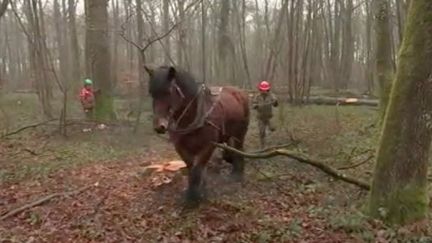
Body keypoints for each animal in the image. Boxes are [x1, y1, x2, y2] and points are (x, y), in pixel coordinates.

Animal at [145, 65, 250, 205]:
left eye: (168, 92)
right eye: (152, 93)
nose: (159, 126)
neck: (193, 117)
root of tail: (238, 91)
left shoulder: (208, 146)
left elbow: (198, 168)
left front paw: (195, 197)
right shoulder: (181, 147)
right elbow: (191, 167)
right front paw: (196, 191)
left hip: (240, 133)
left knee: (239, 149)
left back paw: (237, 174)